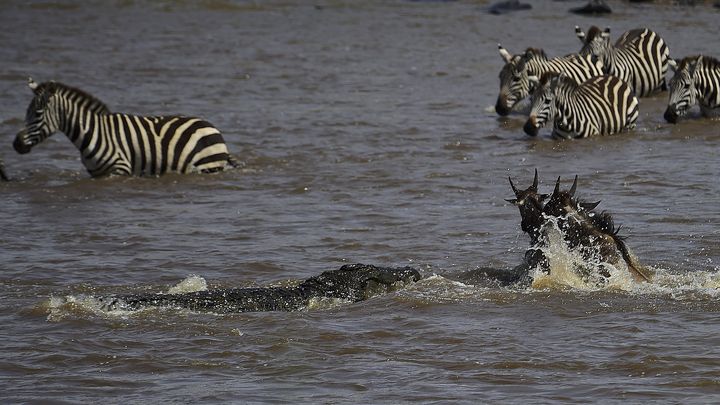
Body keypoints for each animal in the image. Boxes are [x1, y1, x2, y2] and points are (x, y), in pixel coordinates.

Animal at [11, 79, 236, 177]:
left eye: (37, 114)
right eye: (26, 112)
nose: (15, 144)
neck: (92, 132)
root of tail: (211, 126)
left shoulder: (120, 169)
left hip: (207, 166)